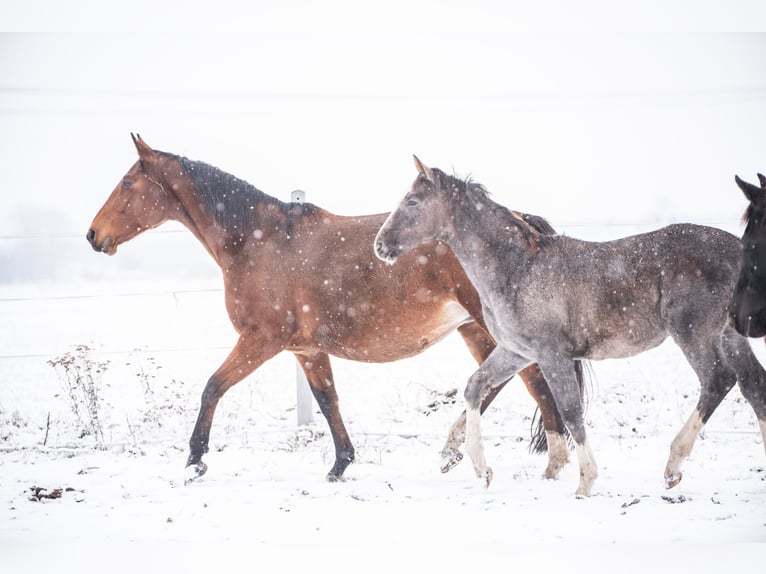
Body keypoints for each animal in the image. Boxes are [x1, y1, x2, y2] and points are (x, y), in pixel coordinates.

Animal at [86, 134, 576, 485]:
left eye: (127, 183)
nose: (93, 235)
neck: (259, 241)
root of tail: (521, 223)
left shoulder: (261, 340)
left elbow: (212, 388)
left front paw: (194, 461)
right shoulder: (307, 350)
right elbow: (327, 401)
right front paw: (341, 465)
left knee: (534, 380)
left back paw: (549, 460)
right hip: (472, 328)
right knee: (501, 383)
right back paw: (457, 454)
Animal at [375, 156, 766, 496]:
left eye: (412, 201)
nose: (380, 245)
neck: (517, 268)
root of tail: (739, 250)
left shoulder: (552, 355)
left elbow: (570, 411)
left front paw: (585, 484)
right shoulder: (517, 351)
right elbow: (475, 387)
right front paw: (481, 469)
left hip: (692, 332)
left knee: (718, 380)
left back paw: (672, 468)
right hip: (729, 335)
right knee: (754, 385)